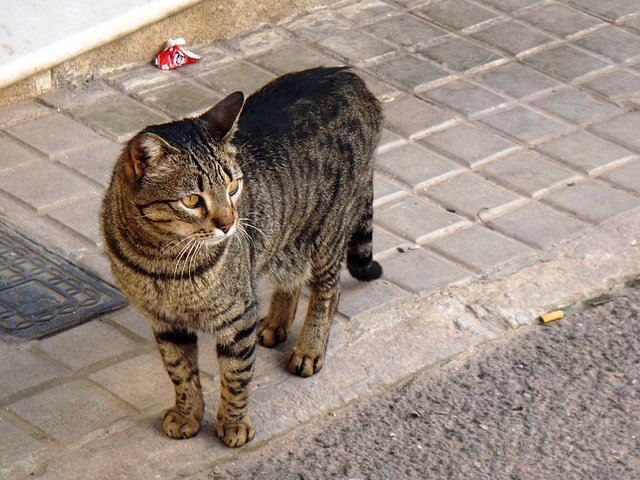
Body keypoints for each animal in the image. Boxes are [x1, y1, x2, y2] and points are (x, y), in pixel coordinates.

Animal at [98, 65, 382, 448]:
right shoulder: (165, 321)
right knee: (291, 278)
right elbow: (180, 373)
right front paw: (187, 415)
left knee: (328, 290)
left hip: (328, 232)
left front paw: (234, 425)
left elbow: (236, 376)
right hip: (285, 239)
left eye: (233, 187)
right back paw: (276, 323)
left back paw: (309, 349)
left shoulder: (238, 316)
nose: (229, 224)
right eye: (191, 200)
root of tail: (349, 75)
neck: (161, 261)